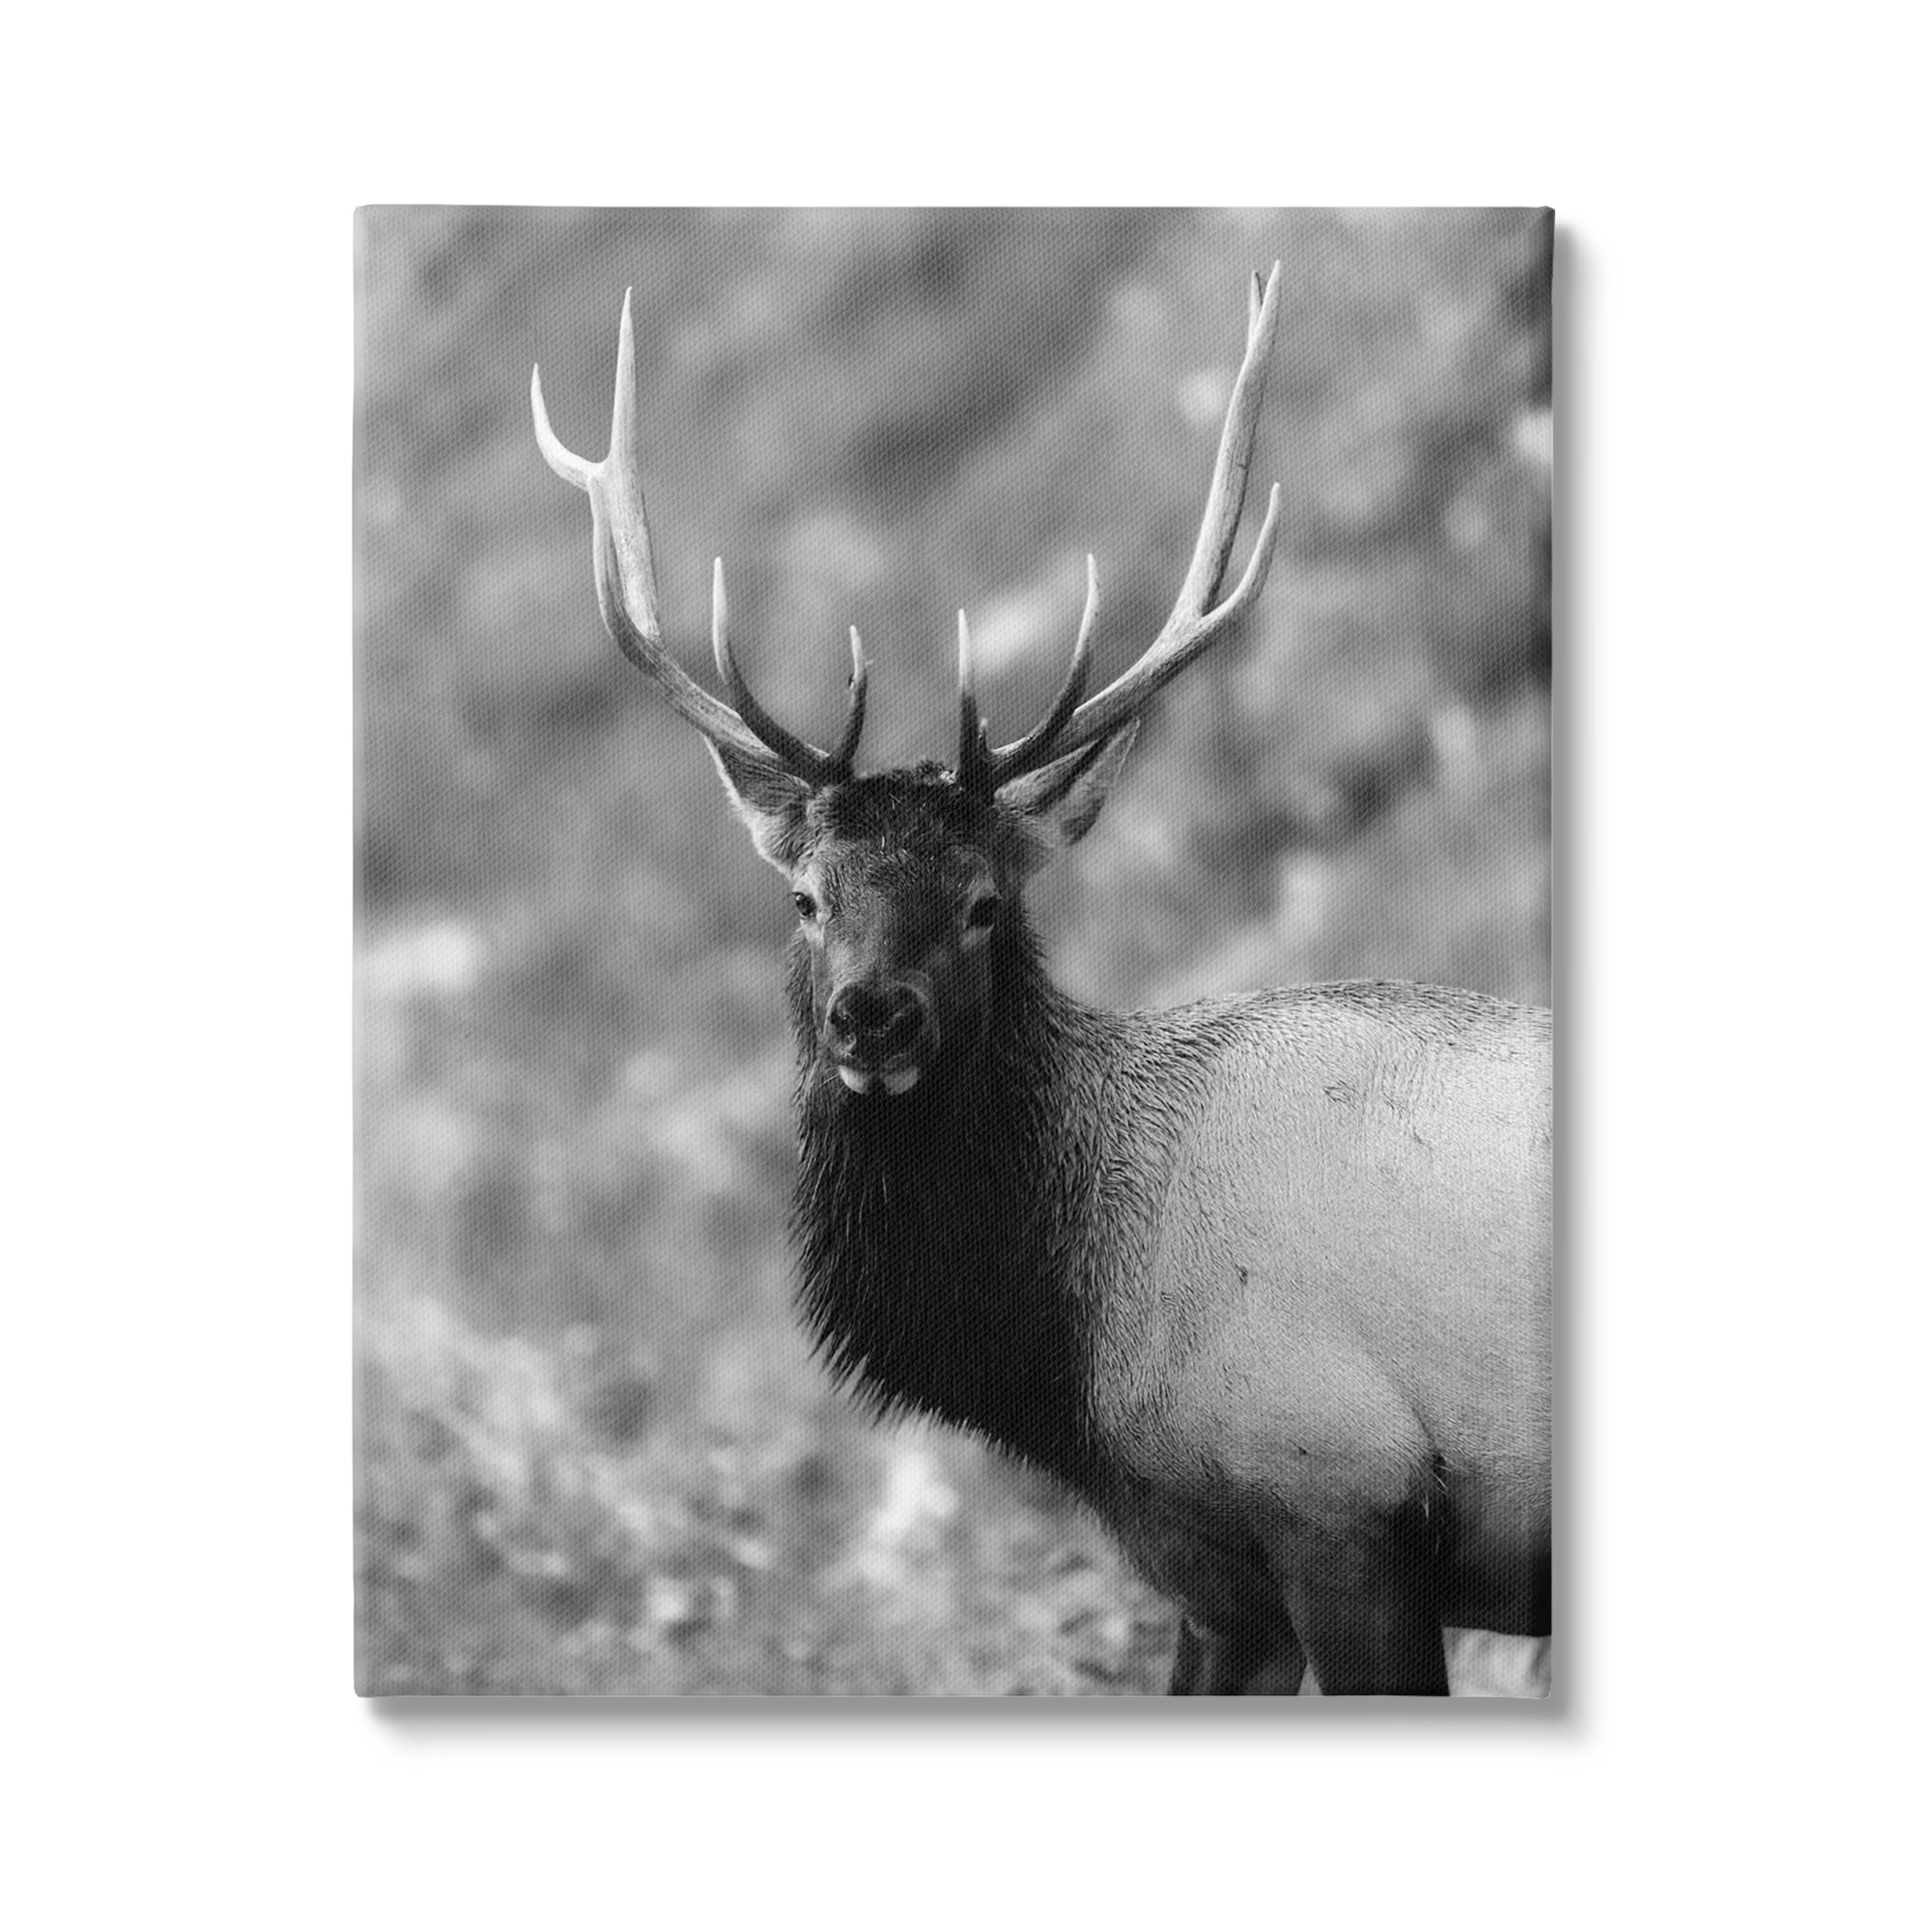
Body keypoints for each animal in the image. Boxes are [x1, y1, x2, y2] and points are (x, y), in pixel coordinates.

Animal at [530, 267, 1551, 1695]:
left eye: (983, 902)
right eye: (805, 899)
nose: (872, 1014)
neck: (1071, 1351)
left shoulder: (1342, 1498)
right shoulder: (1210, 1569)